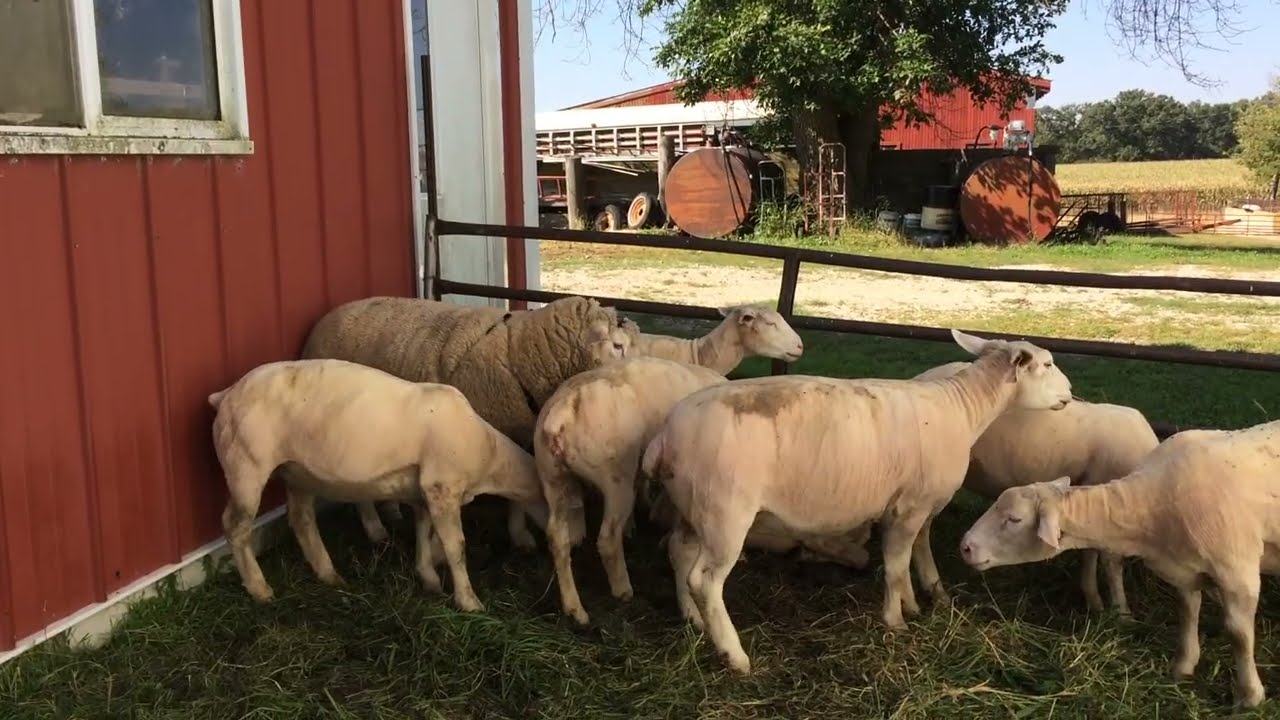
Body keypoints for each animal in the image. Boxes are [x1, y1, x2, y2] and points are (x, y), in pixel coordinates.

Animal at [209, 358, 547, 612]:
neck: (488, 455)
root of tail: (225, 394)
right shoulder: (442, 487)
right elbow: (456, 547)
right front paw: (469, 601)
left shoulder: (424, 493)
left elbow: (424, 533)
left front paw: (428, 578)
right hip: (246, 464)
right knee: (235, 527)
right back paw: (259, 589)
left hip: (295, 471)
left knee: (301, 519)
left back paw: (328, 574)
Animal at [299, 294, 633, 552]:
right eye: (618, 346)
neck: (520, 352)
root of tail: (322, 322)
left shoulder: (517, 435)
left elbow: (516, 496)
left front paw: (520, 536)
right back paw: (374, 528)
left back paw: (390, 511)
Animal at [640, 329, 1074, 674]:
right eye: (1048, 363)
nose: (1070, 394)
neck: (963, 410)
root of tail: (665, 436)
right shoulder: (908, 505)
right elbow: (896, 565)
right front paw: (896, 621)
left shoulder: (920, 505)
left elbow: (916, 552)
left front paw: (919, 602)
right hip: (725, 512)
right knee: (706, 580)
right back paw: (734, 655)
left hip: (690, 506)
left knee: (680, 554)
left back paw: (693, 619)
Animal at [910, 359, 1160, 615]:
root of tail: (920, 378)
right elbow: (1112, 561)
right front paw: (1121, 611)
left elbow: (1090, 549)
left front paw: (1093, 599)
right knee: (920, 533)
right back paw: (936, 593)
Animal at [958, 420, 1280, 708]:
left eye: (1014, 519)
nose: (965, 547)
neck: (1152, 505)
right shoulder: (1185, 570)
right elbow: (1188, 613)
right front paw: (1183, 667)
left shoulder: (1237, 570)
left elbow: (1238, 634)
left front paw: (1249, 696)